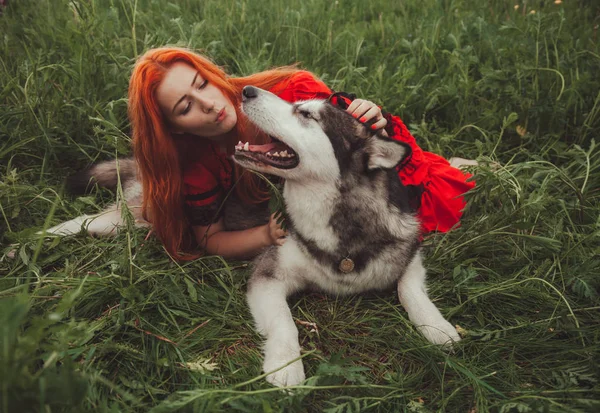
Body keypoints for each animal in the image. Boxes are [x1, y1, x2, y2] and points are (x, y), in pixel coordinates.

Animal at [233, 85, 460, 388]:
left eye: (306, 114)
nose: (246, 90)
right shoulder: (268, 270)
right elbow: (284, 320)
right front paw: (285, 363)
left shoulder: (408, 250)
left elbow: (408, 289)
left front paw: (436, 326)